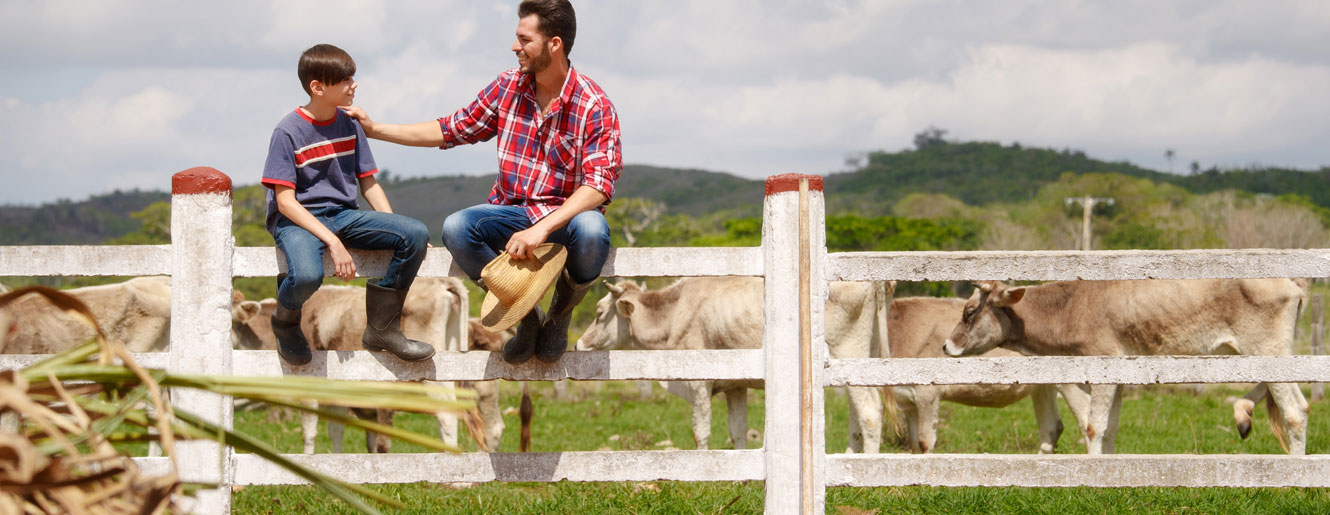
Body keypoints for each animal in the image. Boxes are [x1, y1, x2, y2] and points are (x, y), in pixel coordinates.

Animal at [574, 278, 893, 452]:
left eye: (599, 312)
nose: (578, 345)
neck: (674, 313)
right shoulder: (735, 386)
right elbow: (737, 429)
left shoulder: (698, 384)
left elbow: (701, 429)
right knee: (857, 414)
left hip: (847, 352)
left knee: (869, 412)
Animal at [883, 296, 1090, 455]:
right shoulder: (908, 402)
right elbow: (915, 445)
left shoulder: (928, 394)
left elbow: (925, 443)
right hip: (1042, 387)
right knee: (1052, 428)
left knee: (1088, 426)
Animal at [946, 278, 1308, 455]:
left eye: (969, 311)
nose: (946, 345)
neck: (1070, 307)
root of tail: (1291, 282)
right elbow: (1108, 430)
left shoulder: (1102, 366)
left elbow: (1093, 427)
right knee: (1300, 405)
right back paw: (1244, 415)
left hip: (1267, 351)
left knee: (1292, 412)